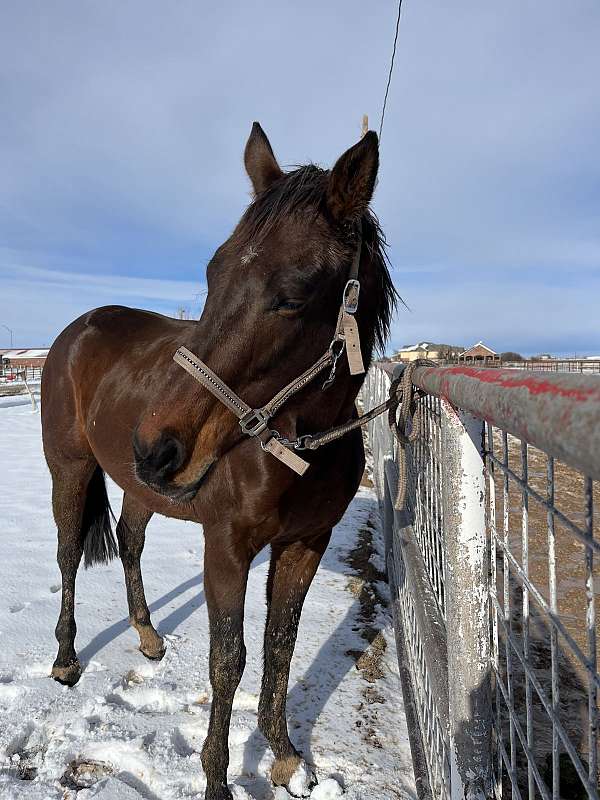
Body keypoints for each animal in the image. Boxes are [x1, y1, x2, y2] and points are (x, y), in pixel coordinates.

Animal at [42, 126, 398, 800]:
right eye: (213, 271)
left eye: (292, 297)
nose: (156, 448)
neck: (296, 444)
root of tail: (77, 328)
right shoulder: (227, 547)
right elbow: (227, 662)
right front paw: (217, 779)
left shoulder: (306, 544)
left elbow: (280, 645)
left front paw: (285, 755)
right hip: (70, 469)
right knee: (70, 553)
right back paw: (67, 659)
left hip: (141, 489)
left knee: (130, 542)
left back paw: (147, 634)